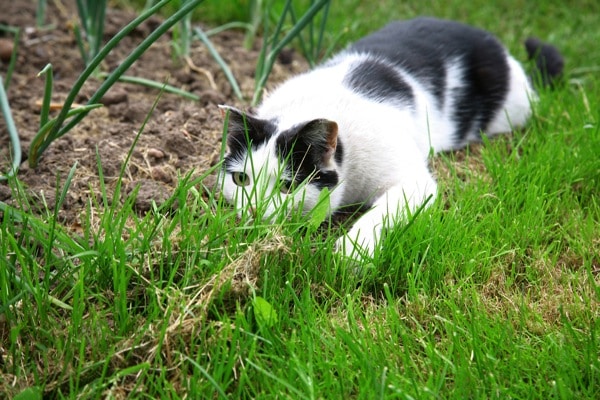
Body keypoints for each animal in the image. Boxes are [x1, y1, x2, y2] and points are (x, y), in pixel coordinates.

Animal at [219, 16, 564, 260]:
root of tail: (494, 42)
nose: (253, 212)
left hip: (515, 110)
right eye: (241, 180)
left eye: (287, 187)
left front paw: (353, 253)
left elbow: (383, 212)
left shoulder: (414, 183)